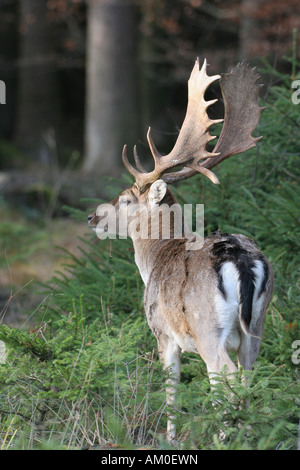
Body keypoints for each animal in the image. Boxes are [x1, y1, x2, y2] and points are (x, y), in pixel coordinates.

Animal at [88, 59, 274, 444]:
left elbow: (171, 386)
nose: (92, 217)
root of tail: (240, 259)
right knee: (247, 377)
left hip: (207, 330)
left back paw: (224, 435)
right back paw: (245, 433)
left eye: (125, 199)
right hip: (257, 325)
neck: (155, 258)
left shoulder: (162, 332)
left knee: (226, 378)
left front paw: (170, 435)